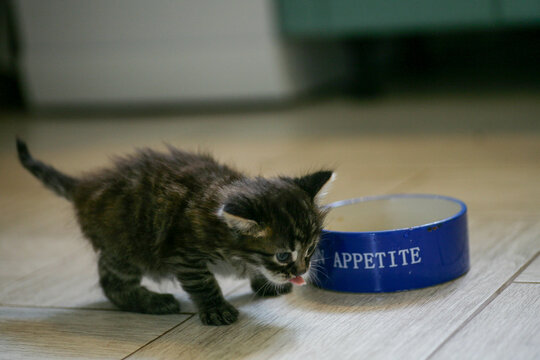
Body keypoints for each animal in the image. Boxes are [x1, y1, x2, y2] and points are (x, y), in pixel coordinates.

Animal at [16, 140, 334, 326]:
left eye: (310, 250)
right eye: (283, 256)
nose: (302, 271)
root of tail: (85, 186)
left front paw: (265, 283)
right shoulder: (185, 255)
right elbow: (205, 284)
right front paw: (216, 309)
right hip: (125, 249)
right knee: (110, 282)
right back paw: (153, 302)